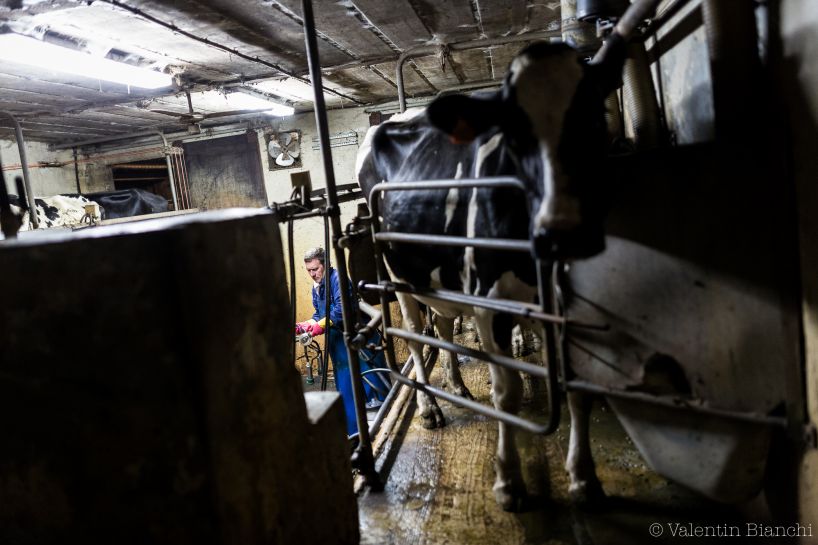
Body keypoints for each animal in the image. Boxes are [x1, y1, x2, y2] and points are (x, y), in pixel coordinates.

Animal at [354, 38, 628, 510]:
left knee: (443, 325)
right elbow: (508, 393)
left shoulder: (571, 304)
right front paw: (509, 481)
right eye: (513, 135)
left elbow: (579, 389)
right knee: (415, 333)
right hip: (398, 273)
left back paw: (457, 384)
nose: (563, 231)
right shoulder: (489, 302)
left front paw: (583, 478)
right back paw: (430, 408)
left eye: (595, 117)